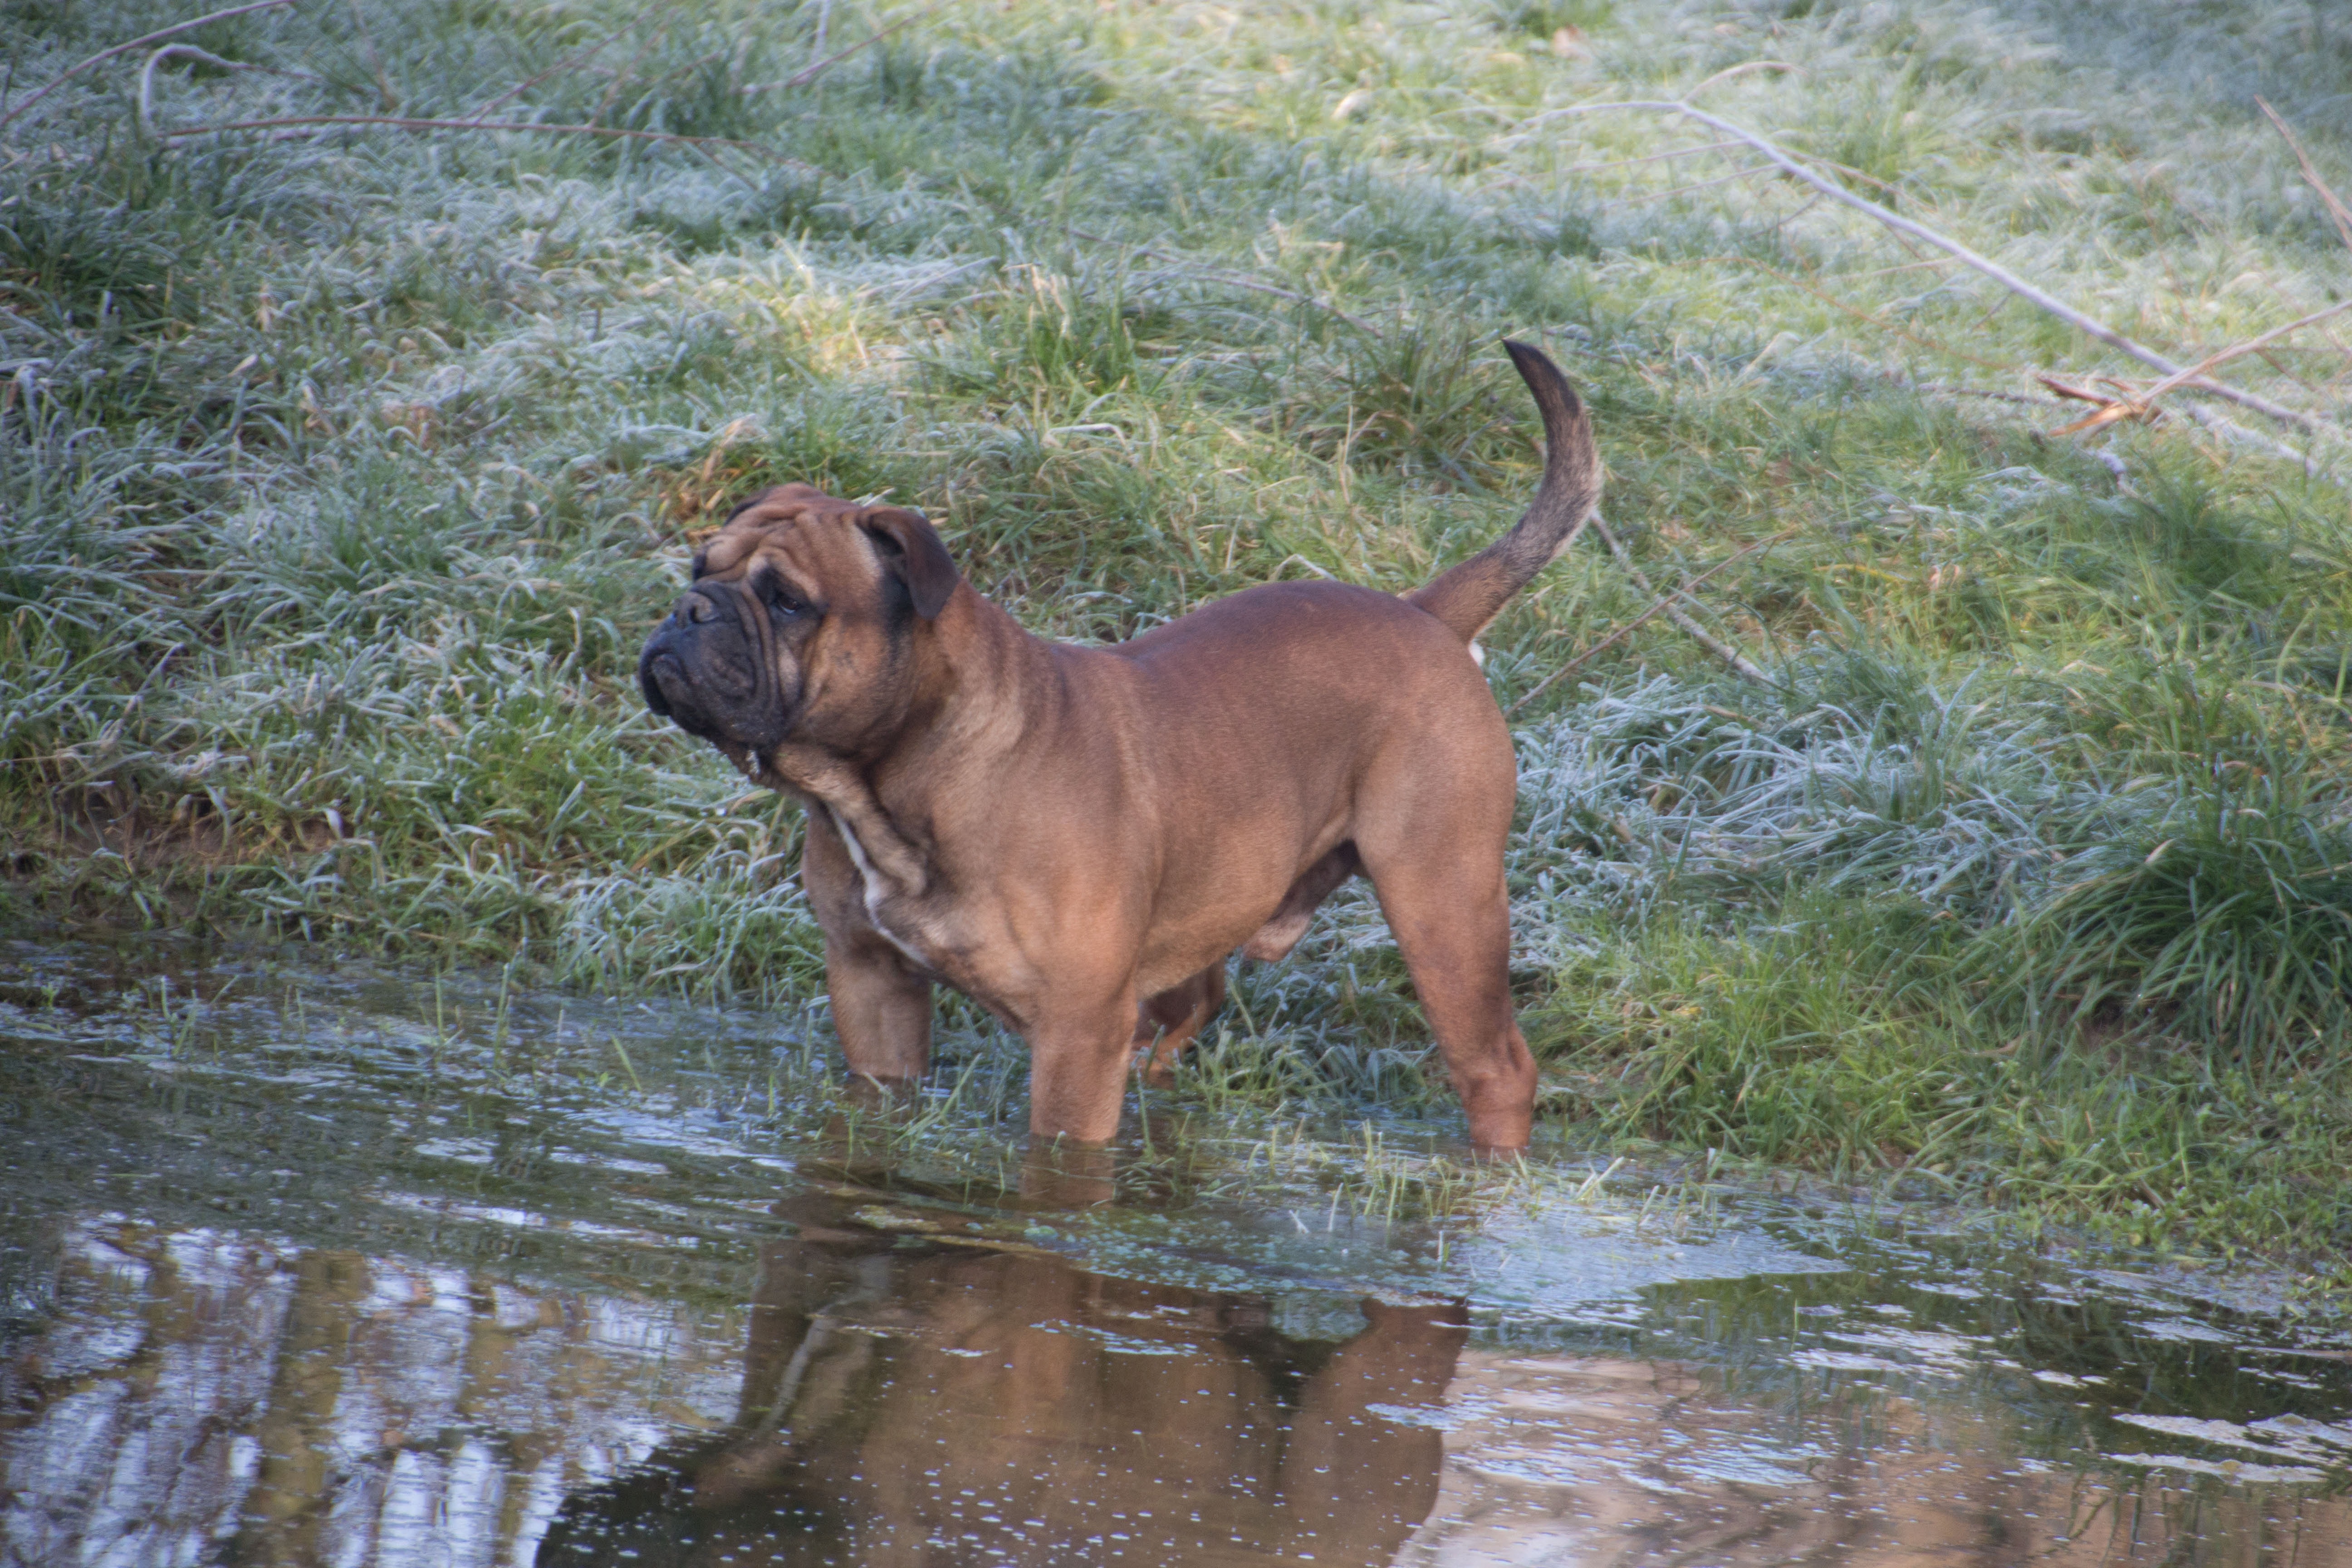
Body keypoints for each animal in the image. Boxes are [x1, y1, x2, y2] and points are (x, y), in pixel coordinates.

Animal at [640, 341, 1599, 1152]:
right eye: (699, 568)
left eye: (788, 601)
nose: (689, 611)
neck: (897, 780)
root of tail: (1423, 615)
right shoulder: (872, 988)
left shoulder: (1073, 1039)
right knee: (1193, 1004)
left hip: (1443, 904)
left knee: (1495, 1068)